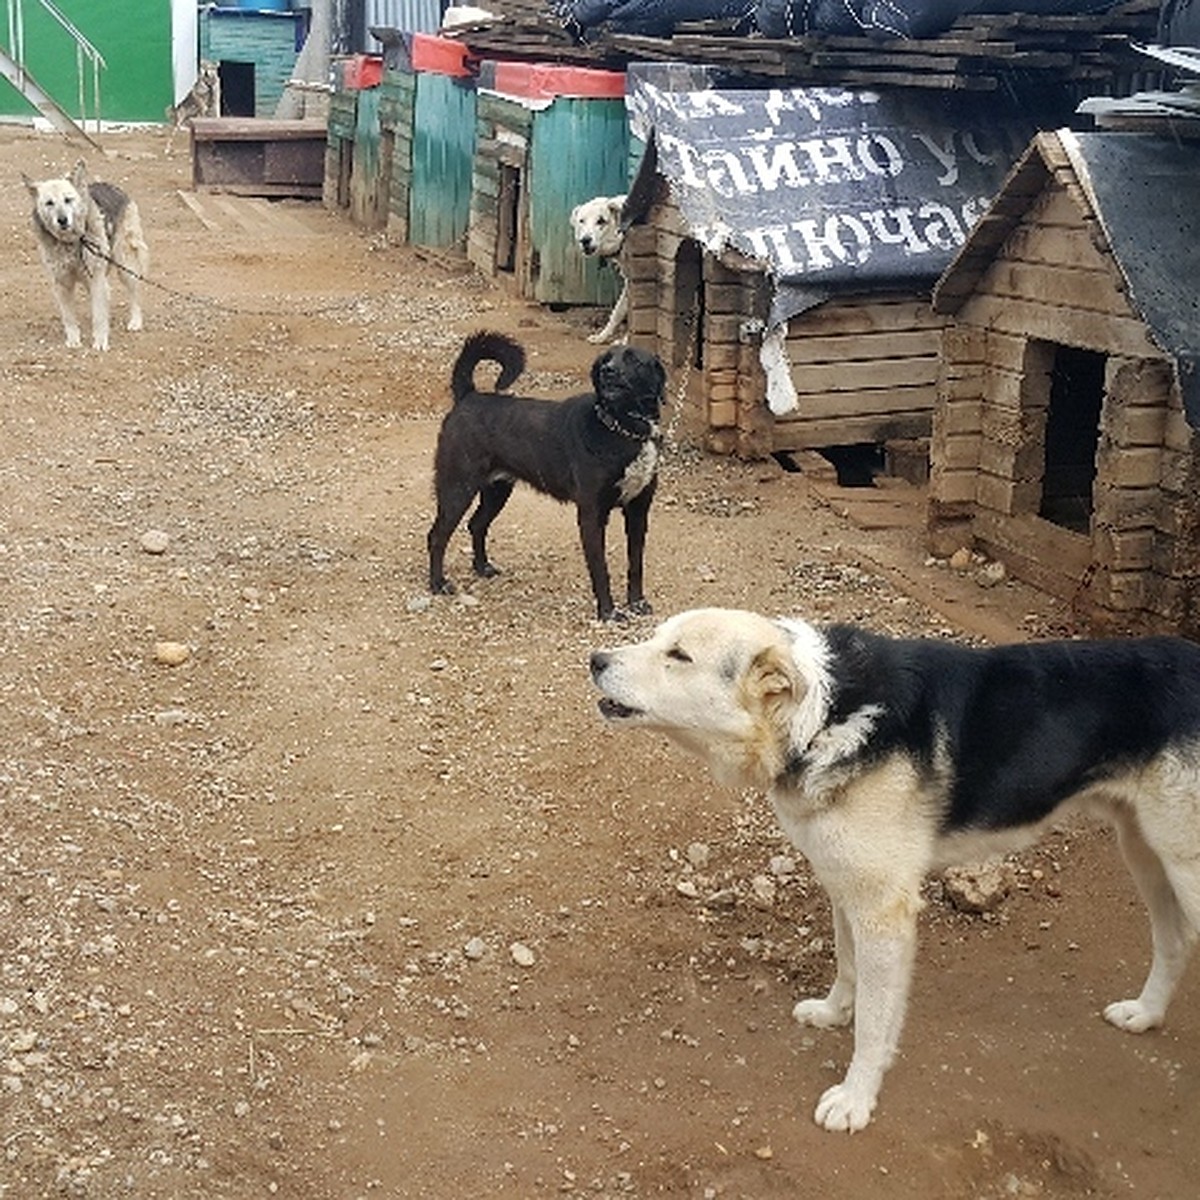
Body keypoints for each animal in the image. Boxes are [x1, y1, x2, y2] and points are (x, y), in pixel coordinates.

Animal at [24, 158, 150, 350]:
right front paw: (73, 340)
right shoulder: (62, 282)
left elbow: (99, 314)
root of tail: (111, 186)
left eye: (68, 200)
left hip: (125, 265)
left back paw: (135, 321)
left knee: (134, 294)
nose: (62, 220)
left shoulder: (96, 277)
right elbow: (69, 317)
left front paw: (100, 341)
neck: (72, 242)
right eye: (49, 203)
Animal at [424, 333, 672, 624]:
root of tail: (469, 396)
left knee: (476, 524)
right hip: (457, 488)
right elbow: (601, 570)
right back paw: (438, 584)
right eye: (606, 359)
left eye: (633, 359)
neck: (623, 429)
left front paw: (637, 603)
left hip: (497, 491)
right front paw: (608, 613)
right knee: (437, 535)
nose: (607, 371)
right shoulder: (592, 514)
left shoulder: (638, 511)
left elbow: (636, 564)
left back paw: (482, 567)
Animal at [568, 190, 628, 343]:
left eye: (601, 221)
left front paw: (627, 340)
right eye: (581, 221)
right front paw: (602, 336)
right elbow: (618, 311)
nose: (585, 240)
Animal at [590, 609, 1200, 1132]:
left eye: (679, 655)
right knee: (1173, 941)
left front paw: (856, 1099)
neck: (821, 720)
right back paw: (1145, 1014)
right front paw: (832, 1013)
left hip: (1179, 864)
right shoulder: (846, 888)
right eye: (657, 637)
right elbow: (847, 969)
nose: (595, 658)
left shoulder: (884, 912)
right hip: (1144, 851)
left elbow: (875, 1020)